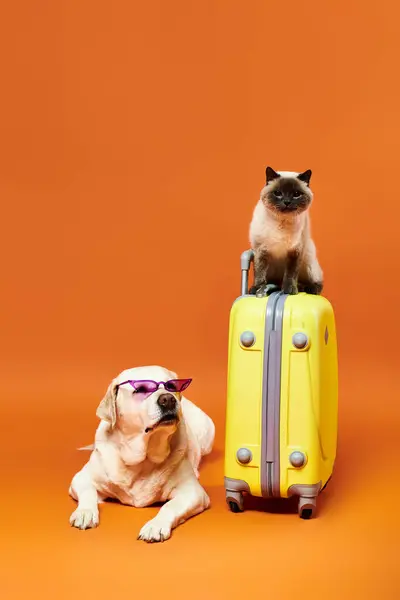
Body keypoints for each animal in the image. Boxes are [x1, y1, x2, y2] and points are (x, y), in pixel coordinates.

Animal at [68, 366, 216, 544]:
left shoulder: (193, 492)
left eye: (172, 386)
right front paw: (85, 512)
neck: (142, 458)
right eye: (141, 389)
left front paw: (156, 525)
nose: (169, 399)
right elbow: (88, 492)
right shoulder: (81, 478)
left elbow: (169, 506)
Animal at [250, 166, 324, 296]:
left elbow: (290, 274)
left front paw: (289, 291)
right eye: (277, 193)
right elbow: (259, 273)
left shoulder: (295, 252)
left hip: (309, 264)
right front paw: (258, 289)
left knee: (317, 283)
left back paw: (307, 289)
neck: (282, 222)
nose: (287, 202)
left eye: (296, 194)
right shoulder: (260, 250)